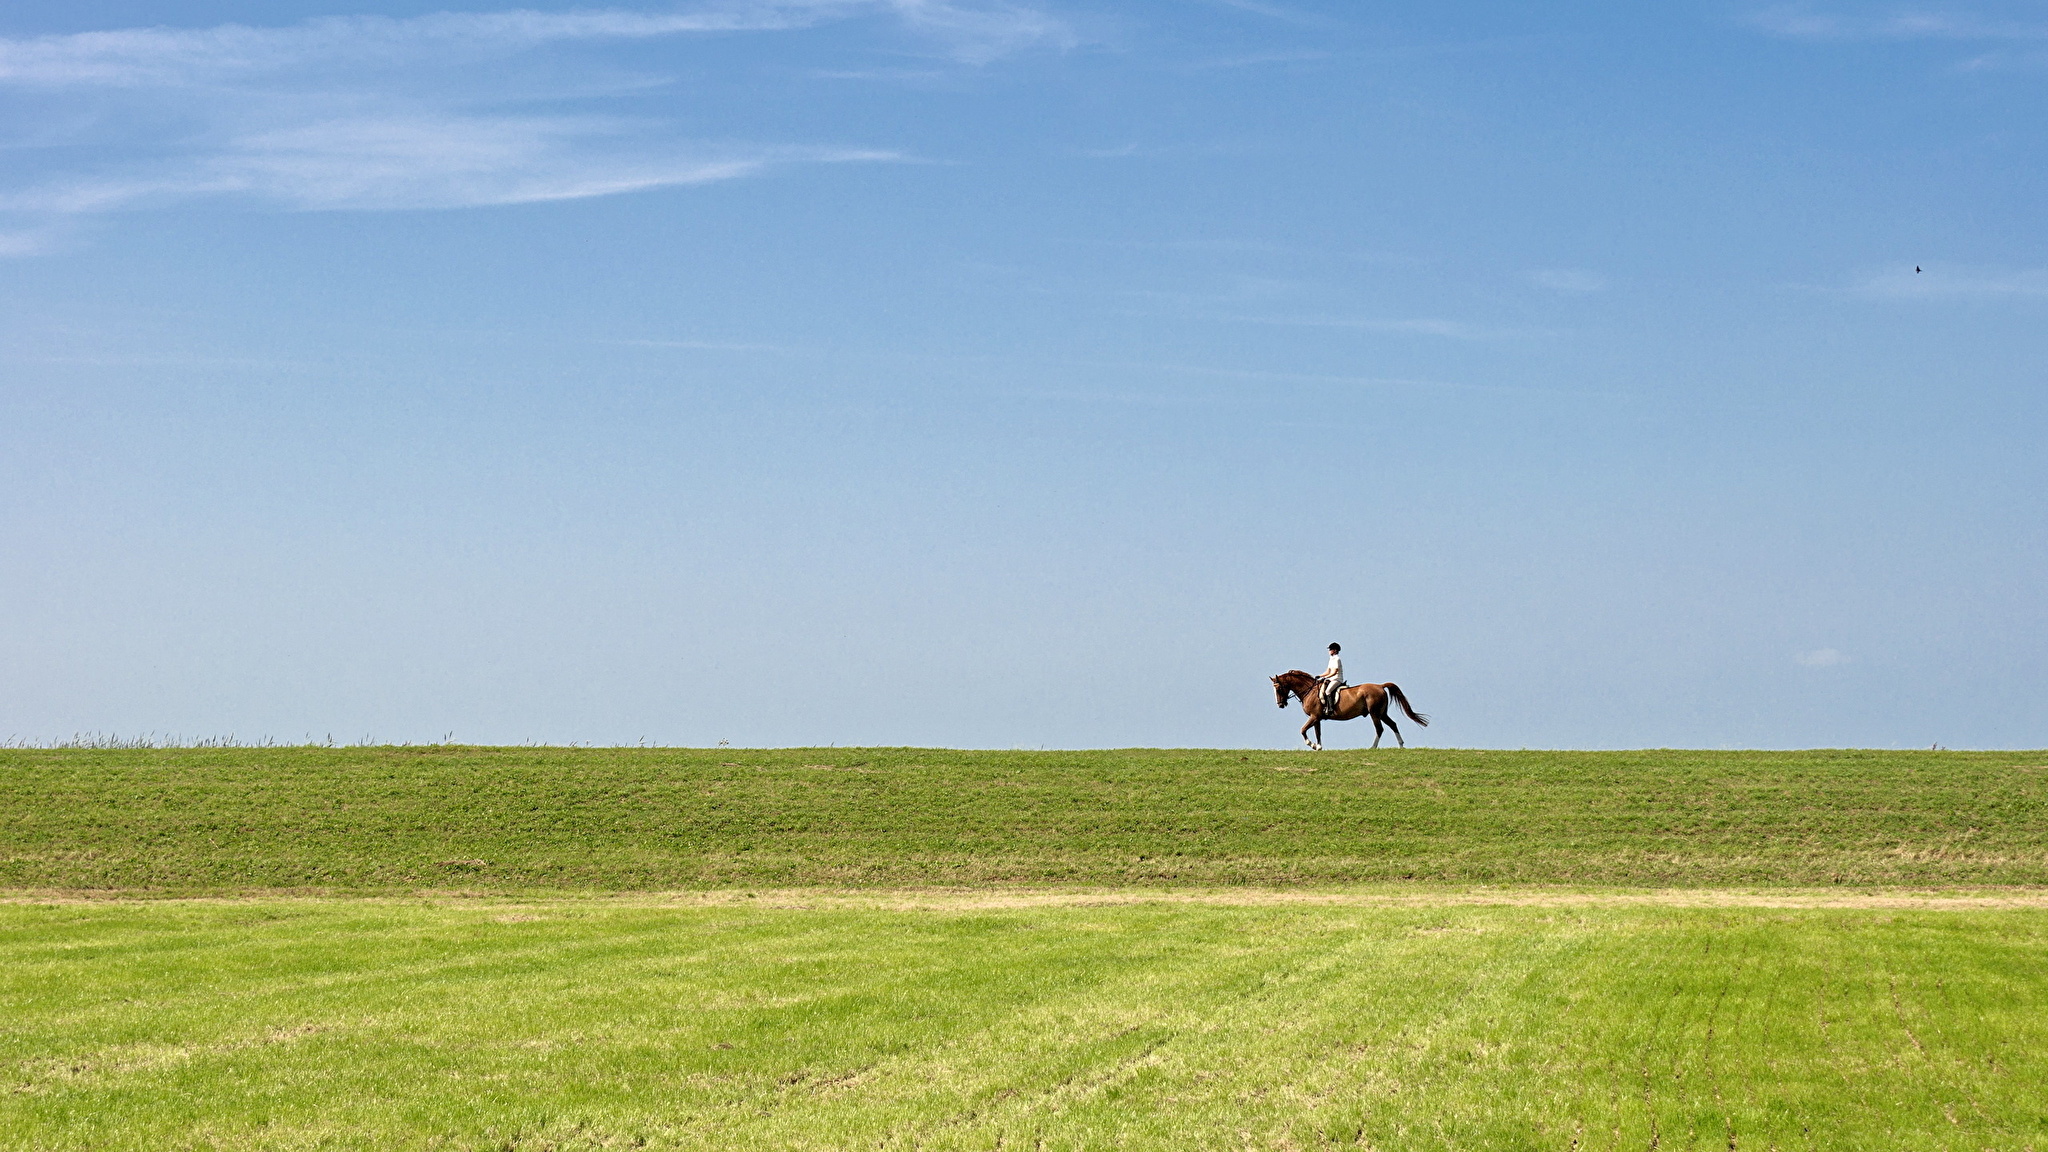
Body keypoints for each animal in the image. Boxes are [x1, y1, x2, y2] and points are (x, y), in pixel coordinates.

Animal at [1269, 668, 1433, 750]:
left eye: (1279, 688)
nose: (1280, 704)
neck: (1309, 690)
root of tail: (1380, 686)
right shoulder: (1317, 718)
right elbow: (1318, 733)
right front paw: (1319, 747)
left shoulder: (1314, 716)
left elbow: (1303, 730)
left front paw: (1312, 745)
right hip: (1382, 713)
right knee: (1393, 724)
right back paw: (1401, 745)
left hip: (1374, 713)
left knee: (1380, 729)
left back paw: (1372, 747)